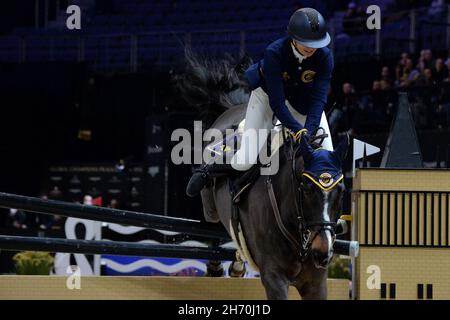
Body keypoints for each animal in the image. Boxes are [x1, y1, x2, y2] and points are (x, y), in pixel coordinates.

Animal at [176, 55, 348, 300]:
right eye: (306, 188)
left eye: (341, 191)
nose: (323, 253)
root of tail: (232, 108)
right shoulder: (274, 277)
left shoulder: (315, 283)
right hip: (210, 206)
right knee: (214, 220)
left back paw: (237, 265)